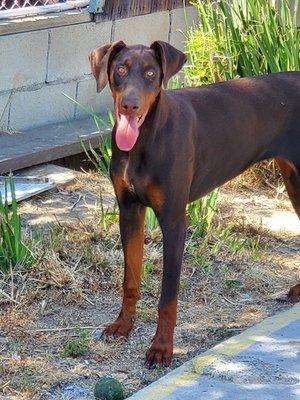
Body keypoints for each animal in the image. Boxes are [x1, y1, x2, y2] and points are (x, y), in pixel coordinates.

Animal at [89, 40, 300, 368]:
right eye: (120, 69)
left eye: (151, 73)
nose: (130, 105)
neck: (144, 140)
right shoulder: (129, 212)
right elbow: (130, 280)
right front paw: (123, 326)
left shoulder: (174, 220)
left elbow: (168, 296)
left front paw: (161, 348)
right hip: (293, 179)